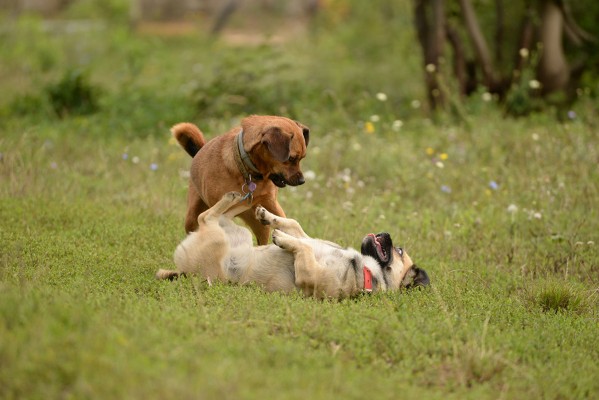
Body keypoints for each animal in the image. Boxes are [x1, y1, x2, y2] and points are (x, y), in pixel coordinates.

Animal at [157, 192, 428, 298]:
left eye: (399, 251)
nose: (385, 232)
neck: (364, 266)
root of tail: (183, 270)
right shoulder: (310, 238)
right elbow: (297, 227)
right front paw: (270, 218)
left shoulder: (310, 273)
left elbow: (301, 246)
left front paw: (282, 239)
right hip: (237, 233)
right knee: (213, 215)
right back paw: (246, 200)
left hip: (218, 238)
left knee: (206, 217)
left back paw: (235, 197)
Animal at [170, 115, 308, 244]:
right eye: (291, 159)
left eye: (301, 158)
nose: (302, 181)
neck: (249, 173)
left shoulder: (271, 203)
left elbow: (287, 222)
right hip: (192, 217)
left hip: (259, 226)